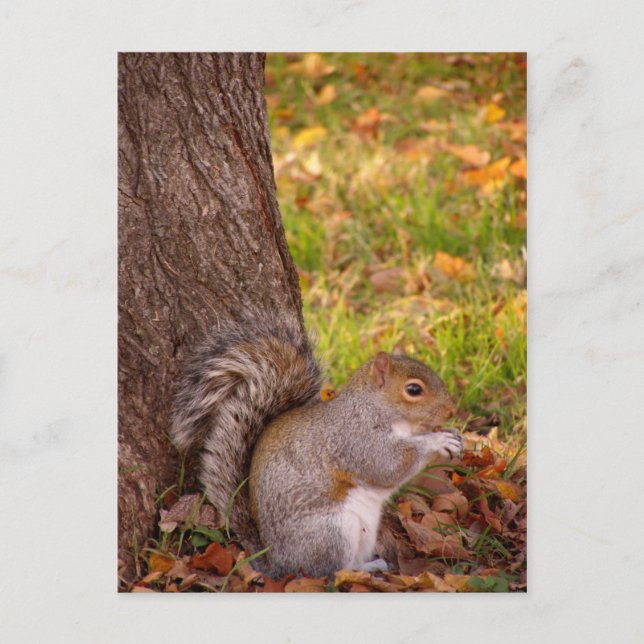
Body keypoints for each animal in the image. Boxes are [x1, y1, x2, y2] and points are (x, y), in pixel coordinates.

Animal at [170, 315, 463, 579]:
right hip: (332, 532)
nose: (452, 411)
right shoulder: (355, 439)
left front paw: (451, 434)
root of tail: (278, 564)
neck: (375, 409)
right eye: (413, 390)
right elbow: (388, 465)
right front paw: (438, 441)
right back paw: (361, 571)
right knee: (328, 571)